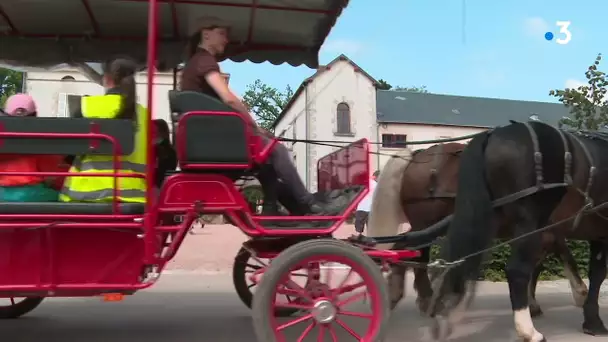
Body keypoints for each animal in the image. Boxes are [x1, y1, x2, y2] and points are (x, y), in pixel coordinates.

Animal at [428, 122, 608, 342]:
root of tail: (494, 133)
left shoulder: (597, 235)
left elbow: (595, 273)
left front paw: (591, 320)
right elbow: (597, 275)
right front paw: (593, 319)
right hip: (529, 223)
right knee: (517, 270)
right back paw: (529, 331)